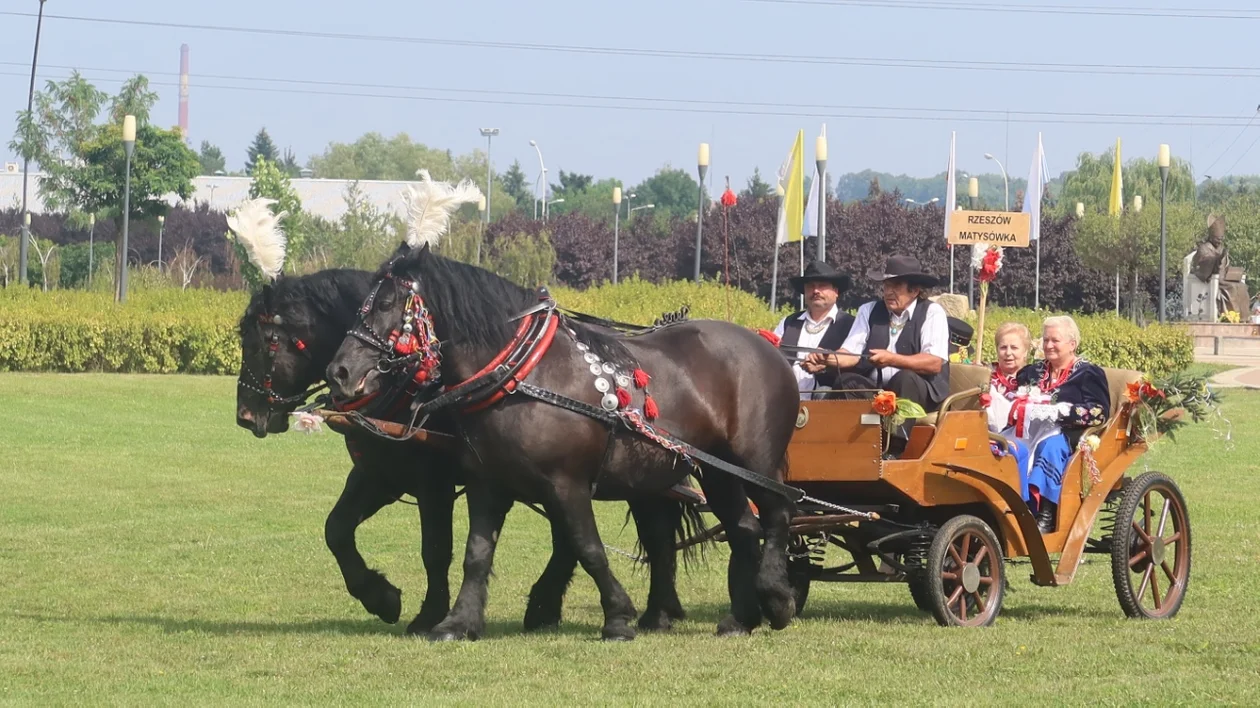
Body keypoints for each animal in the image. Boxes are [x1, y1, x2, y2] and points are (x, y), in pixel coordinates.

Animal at [233, 267, 700, 629]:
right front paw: (380, 597)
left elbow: (435, 549)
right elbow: (336, 529)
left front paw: (428, 614)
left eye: (265, 341)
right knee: (641, 532)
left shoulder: (432, 483)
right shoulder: (379, 474)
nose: (246, 415)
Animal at [325, 245, 796, 637]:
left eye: (386, 303)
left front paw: (618, 617)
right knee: (741, 528)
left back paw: (776, 599)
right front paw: (458, 622)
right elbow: (476, 552)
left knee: (777, 516)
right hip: (711, 472)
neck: (523, 376)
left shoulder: (565, 484)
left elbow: (588, 548)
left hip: (753, 462)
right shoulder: (486, 484)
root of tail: (768, 346)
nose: (339, 372)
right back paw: (740, 618)